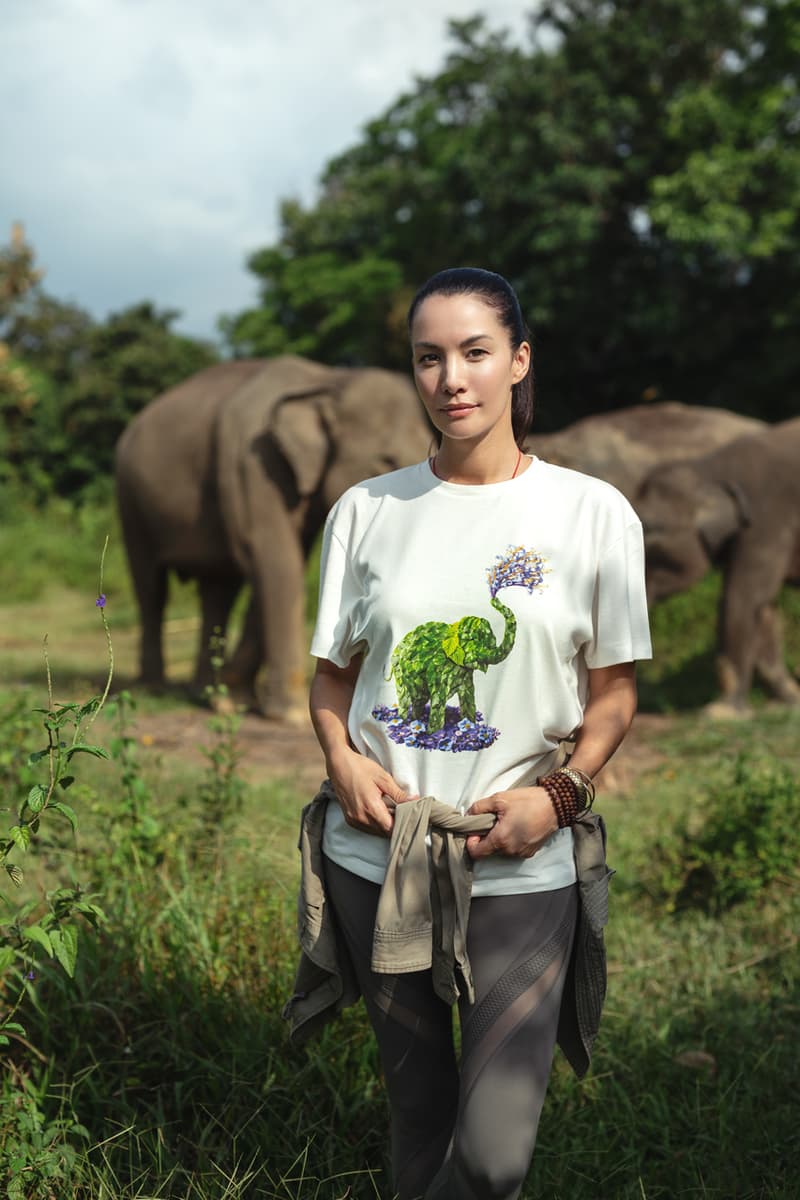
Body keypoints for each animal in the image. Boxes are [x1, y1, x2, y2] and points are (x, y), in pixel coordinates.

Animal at [113, 350, 431, 715]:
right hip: (130, 500)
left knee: (218, 590)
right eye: (386, 461)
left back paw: (203, 692)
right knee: (151, 587)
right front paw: (287, 713)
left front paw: (232, 697)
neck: (328, 381)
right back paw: (153, 687)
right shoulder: (253, 464)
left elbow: (277, 567)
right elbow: (276, 561)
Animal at [633, 420, 800, 710]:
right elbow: (764, 607)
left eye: (651, 529)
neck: (708, 468)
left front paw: (722, 711)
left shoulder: (766, 521)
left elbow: (742, 597)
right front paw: (789, 700)